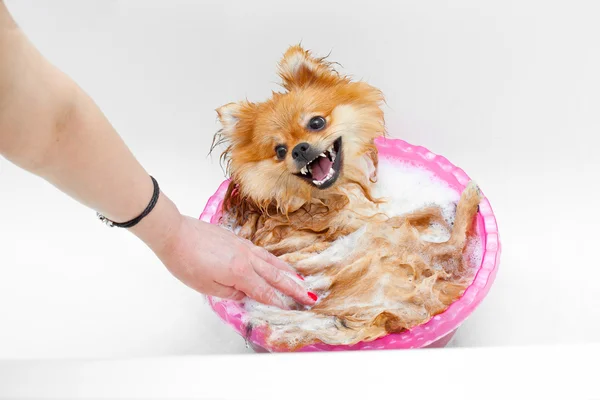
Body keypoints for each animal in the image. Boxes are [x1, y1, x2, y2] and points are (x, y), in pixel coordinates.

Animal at [213, 44, 480, 350]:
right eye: (279, 151)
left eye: (316, 122)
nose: (299, 149)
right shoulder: (366, 221)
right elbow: (419, 214)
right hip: (381, 238)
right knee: (449, 243)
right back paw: (468, 198)